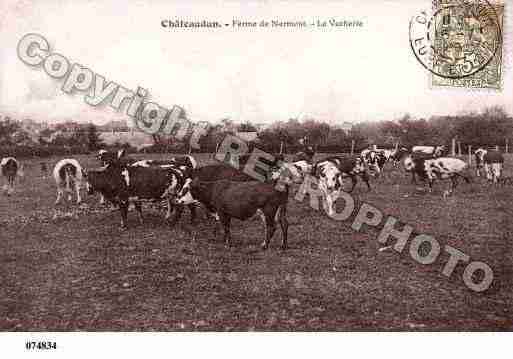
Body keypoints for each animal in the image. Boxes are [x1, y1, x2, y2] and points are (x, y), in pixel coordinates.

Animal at [176, 163, 304, 250]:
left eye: (186, 189)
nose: (177, 199)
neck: (214, 190)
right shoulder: (224, 214)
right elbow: (224, 227)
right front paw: (224, 240)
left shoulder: (222, 213)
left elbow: (226, 228)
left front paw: (227, 244)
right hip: (281, 209)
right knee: (284, 224)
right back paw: (283, 245)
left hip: (269, 211)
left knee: (271, 227)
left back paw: (264, 245)